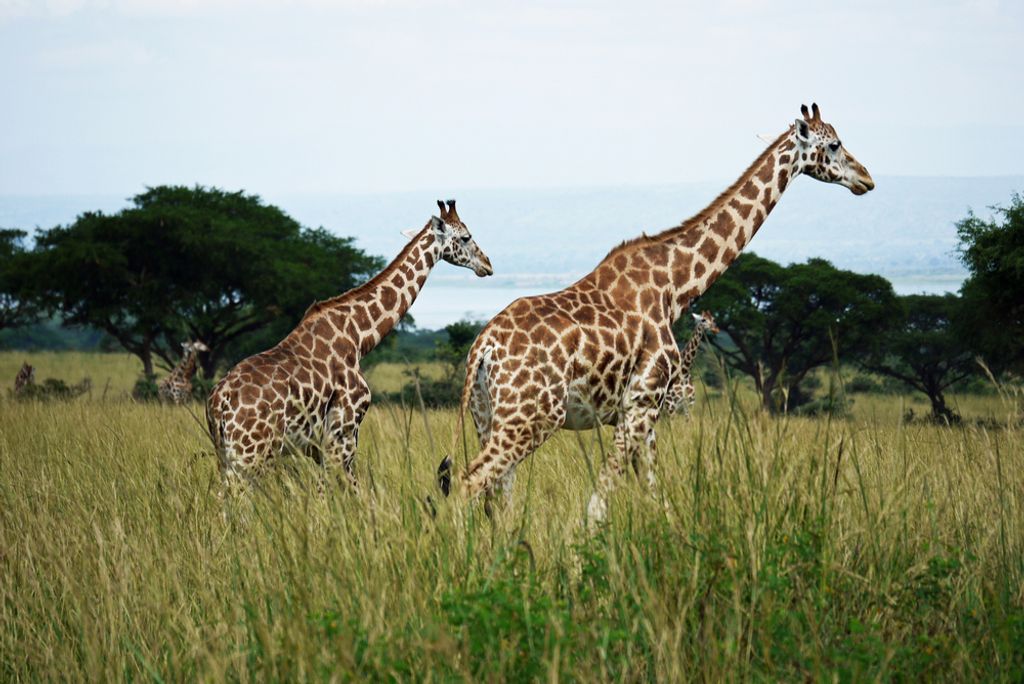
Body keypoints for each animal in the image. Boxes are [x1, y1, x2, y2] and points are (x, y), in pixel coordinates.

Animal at [207, 200, 492, 494]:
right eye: (466, 237)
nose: (487, 265)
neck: (358, 336)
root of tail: (218, 402)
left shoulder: (320, 445)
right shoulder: (344, 432)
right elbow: (351, 492)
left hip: (228, 455)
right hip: (251, 453)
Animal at [436, 104, 874, 522]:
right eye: (834, 144)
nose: (867, 179)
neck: (674, 288)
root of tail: (484, 348)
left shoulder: (643, 416)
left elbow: (654, 496)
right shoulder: (640, 404)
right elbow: (598, 504)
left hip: (487, 417)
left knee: (497, 498)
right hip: (532, 416)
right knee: (467, 484)